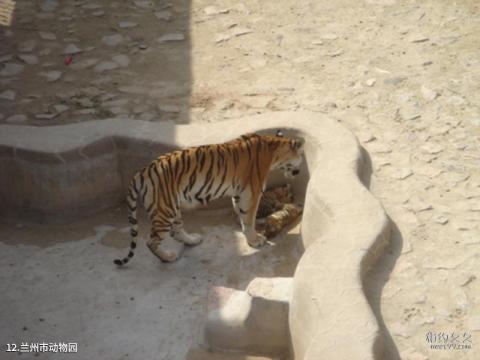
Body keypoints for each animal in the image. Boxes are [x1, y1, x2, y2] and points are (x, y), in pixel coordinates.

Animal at [113, 129, 304, 264]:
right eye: (301, 155)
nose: (299, 170)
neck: (274, 149)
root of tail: (142, 172)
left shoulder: (239, 193)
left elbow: (242, 216)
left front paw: (248, 232)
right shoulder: (252, 192)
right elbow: (249, 218)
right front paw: (255, 240)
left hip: (172, 207)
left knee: (176, 231)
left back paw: (192, 240)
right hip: (164, 211)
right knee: (151, 241)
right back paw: (168, 257)